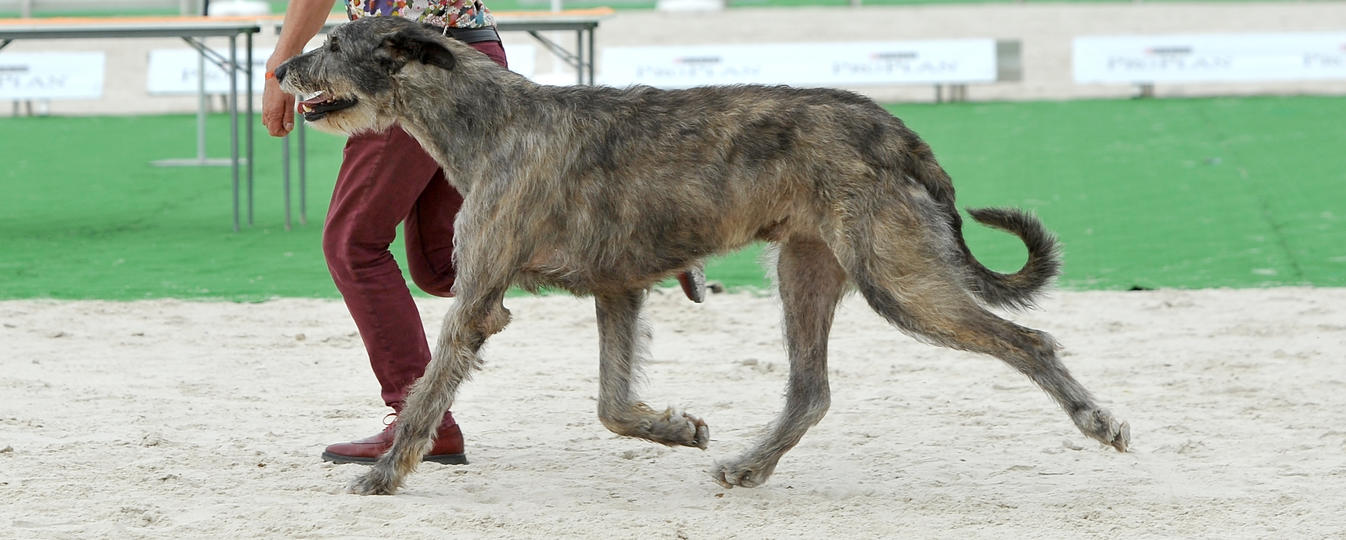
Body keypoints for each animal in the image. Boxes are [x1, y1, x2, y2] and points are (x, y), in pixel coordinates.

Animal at [278, 16, 1130, 495]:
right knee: (812, 389)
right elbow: (611, 405)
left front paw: (385, 474)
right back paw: (750, 466)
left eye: (332, 42)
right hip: (806, 267)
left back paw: (1099, 421)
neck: (486, 118)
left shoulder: (480, 297)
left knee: (1029, 340)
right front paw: (678, 428)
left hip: (897, 275)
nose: (282, 68)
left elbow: (430, 392)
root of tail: (899, 132)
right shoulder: (618, 288)